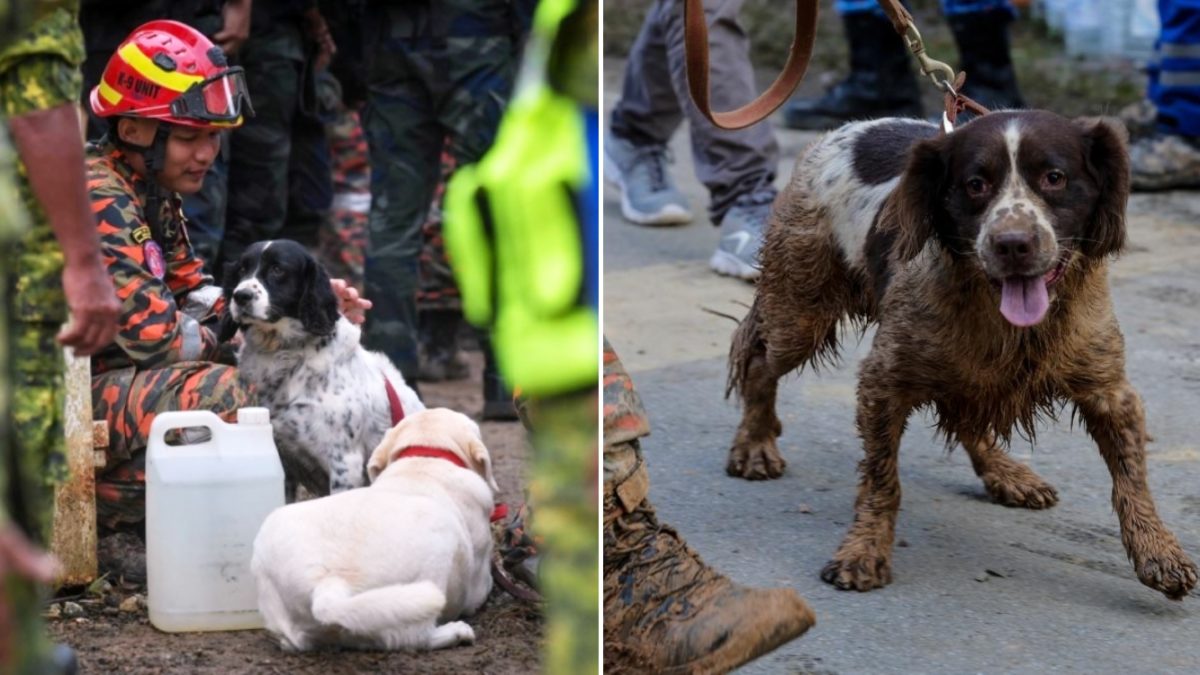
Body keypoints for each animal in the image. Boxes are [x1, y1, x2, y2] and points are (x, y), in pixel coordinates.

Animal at [223, 239, 424, 497]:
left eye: (277, 269)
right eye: (242, 269)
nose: (241, 296)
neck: (286, 354)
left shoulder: (345, 462)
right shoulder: (281, 458)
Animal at [250, 408, 499, 648]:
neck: (424, 459)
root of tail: (328, 584)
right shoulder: (478, 581)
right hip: (439, 540)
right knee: (416, 636)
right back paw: (457, 632)